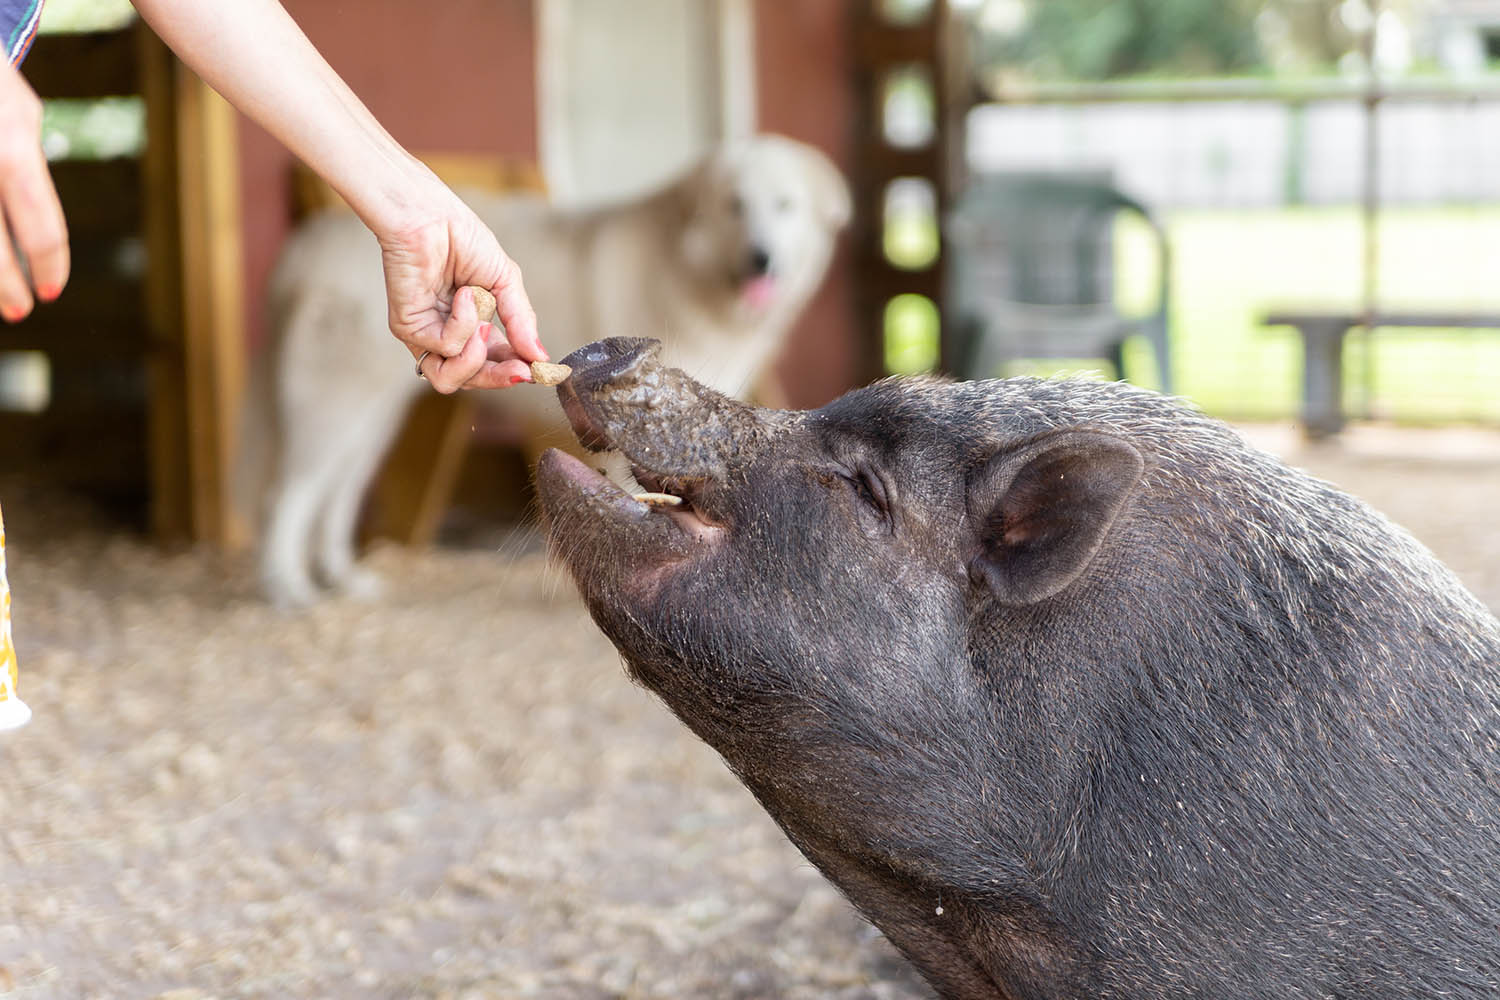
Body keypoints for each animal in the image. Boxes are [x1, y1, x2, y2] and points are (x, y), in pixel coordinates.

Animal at [252, 135, 852, 605]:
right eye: (734, 204)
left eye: (785, 205)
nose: (761, 257)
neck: (686, 274)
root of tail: (308, 242)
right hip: (336, 403)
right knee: (290, 492)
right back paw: (287, 586)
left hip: (371, 417)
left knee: (338, 493)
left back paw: (340, 577)